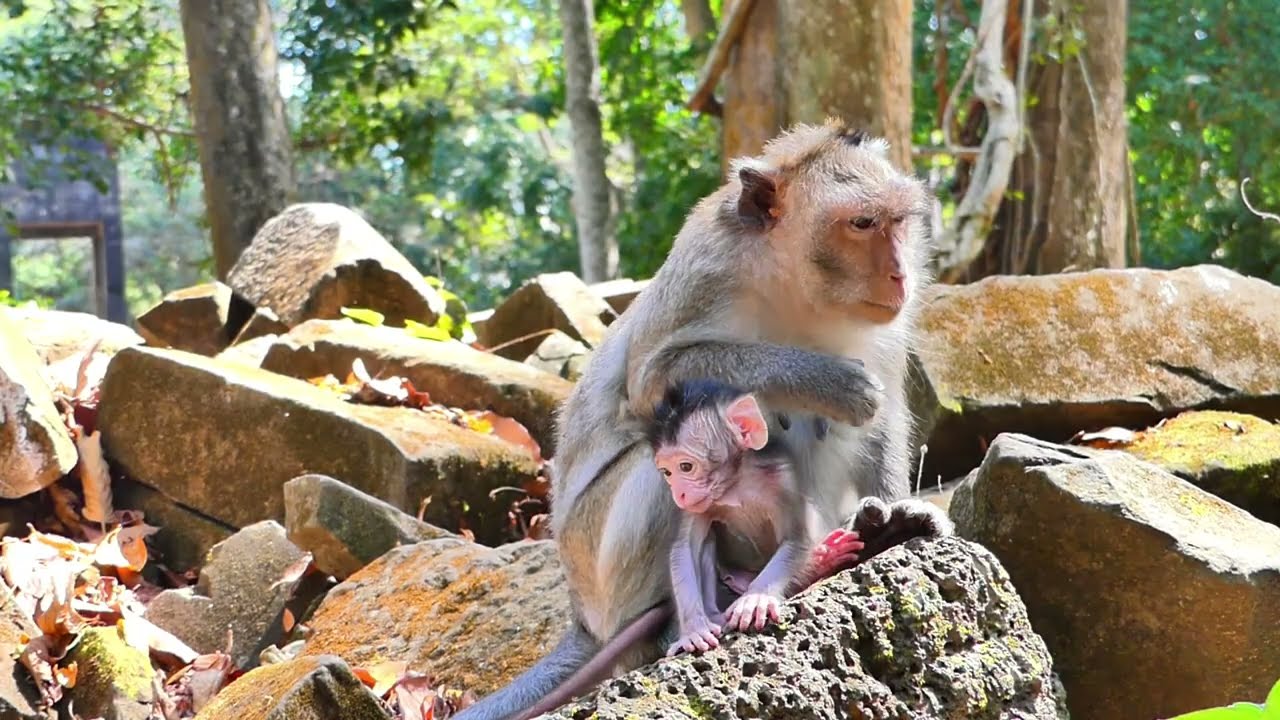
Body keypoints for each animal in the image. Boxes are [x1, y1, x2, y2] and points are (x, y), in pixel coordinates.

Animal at [649, 379, 866, 656]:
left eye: (686, 467)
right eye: (667, 472)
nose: (679, 494)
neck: (735, 484)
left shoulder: (782, 479)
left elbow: (798, 538)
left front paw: (756, 599)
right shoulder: (698, 504)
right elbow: (683, 549)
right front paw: (693, 629)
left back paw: (822, 560)